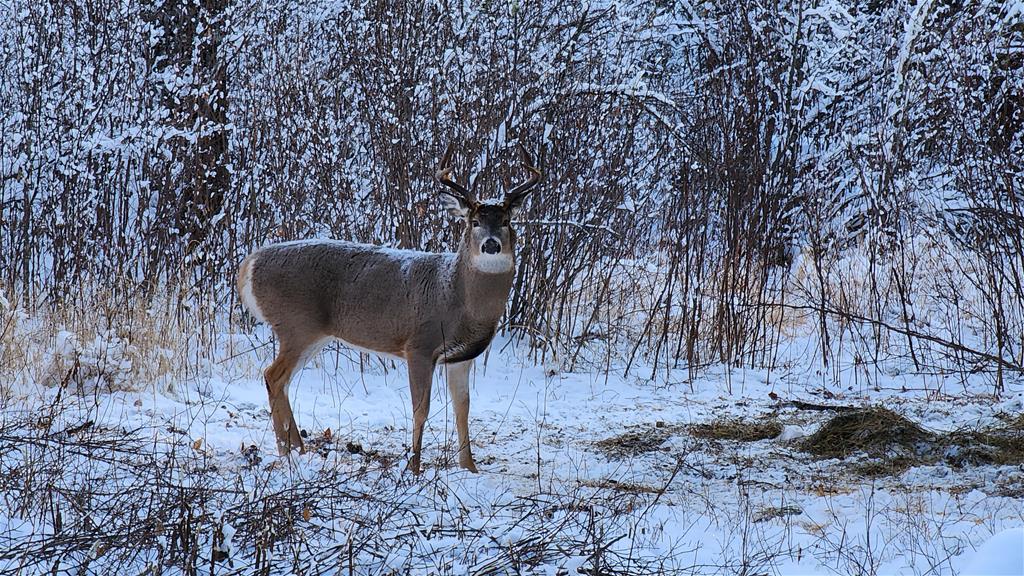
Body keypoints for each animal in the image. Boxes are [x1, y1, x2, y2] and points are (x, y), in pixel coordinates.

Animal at [235, 143, 540, 471]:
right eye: (474, 223)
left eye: (506, 222)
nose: (491, 245)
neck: (456, 296)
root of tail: (248, 265)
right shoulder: (419, 345)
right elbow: (421, 407)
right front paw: (414, 467)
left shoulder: (461, 357)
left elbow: (463, 408)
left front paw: (469, 467)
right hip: (296, 325)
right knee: (273, 375)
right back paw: (288, 451)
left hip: (313, 335)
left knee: (281, 381)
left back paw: (296, 450)